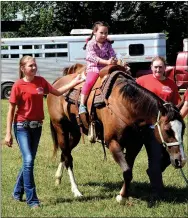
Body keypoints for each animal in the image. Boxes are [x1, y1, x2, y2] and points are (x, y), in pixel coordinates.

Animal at [46, 63, 187, 204]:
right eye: (167, 130)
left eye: (184, 128)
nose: (181, 160)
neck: (125, 105)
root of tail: (57, 83)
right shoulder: (113, 142)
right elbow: (127, 171)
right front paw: (121, 197)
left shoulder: (134, 145)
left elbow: (128, 170)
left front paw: (123, 194)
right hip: (61, 129)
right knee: (68, 158)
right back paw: (76, 191)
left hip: (75, 133)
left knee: (65, 153)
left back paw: (58, 178)